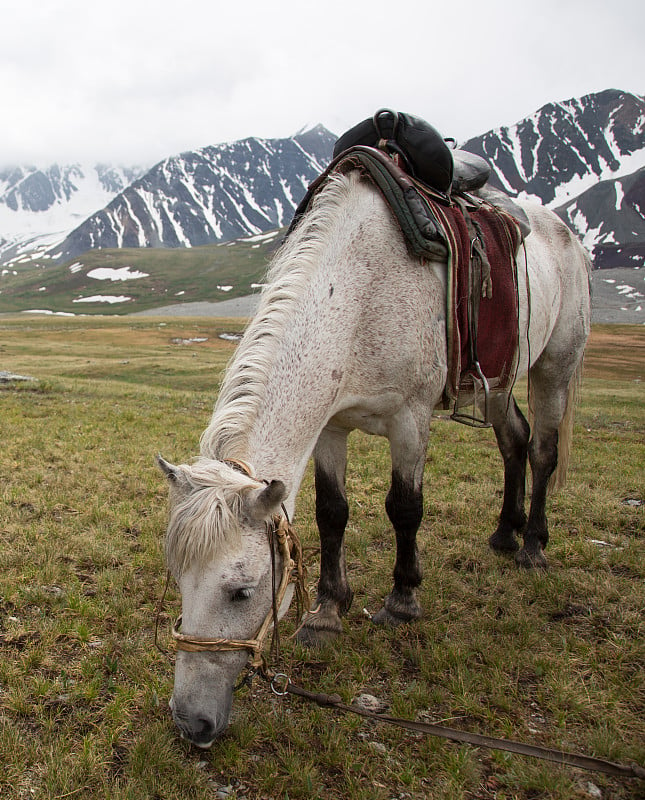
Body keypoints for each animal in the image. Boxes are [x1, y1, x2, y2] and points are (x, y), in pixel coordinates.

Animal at [157, 167, 588, 744]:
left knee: (541, 450)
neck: (358, 298)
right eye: (179, 579)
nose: (191, 723)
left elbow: (404, 508)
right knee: (513, 441)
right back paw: (504, 532)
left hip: (555, 365)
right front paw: (326, 611)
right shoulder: (331, 426)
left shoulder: (410, 420)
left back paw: (533, 545)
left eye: (242, 592)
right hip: (499, 379)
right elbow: (332, 513)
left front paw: (402, 600)